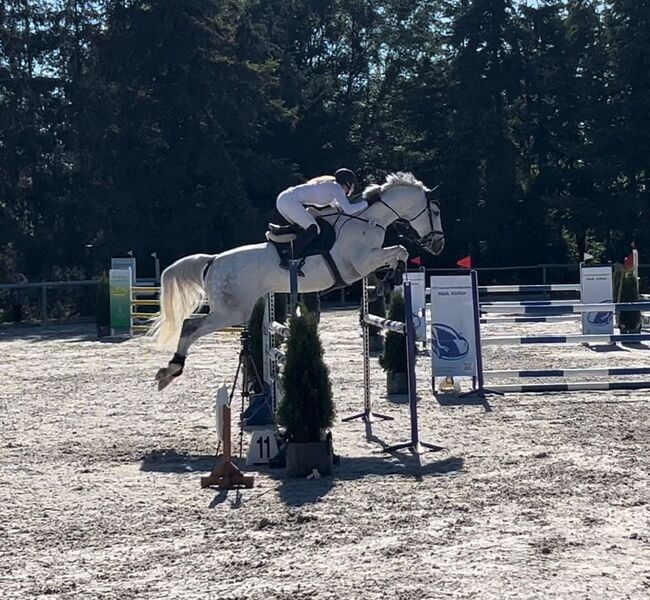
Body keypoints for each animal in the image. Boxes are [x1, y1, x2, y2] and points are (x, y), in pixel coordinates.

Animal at [151, 172, 440, 390]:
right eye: (435, 212)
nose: (439, 244)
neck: (368, 220)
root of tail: (213, 261)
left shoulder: (367, 262)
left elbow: (398, 255)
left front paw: (385, 283)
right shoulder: (359, 264)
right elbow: (400, 251)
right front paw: (386, 283)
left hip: (230, 310)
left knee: (189, 324)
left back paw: (170, 372)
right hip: (231, 311)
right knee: (190, 326)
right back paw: (171, 370)